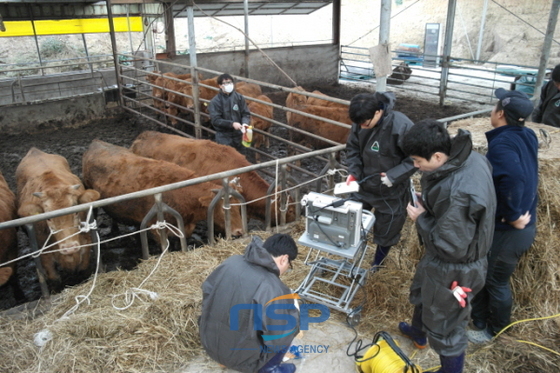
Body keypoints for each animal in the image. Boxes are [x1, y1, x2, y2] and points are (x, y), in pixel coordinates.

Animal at [15, 148, 100, 282]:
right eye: (48, 218)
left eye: (76, 211)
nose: (70, 247)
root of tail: (34, 150)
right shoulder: (44, 253)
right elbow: (54, 277)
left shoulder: (86, 242)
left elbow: (83, 268)